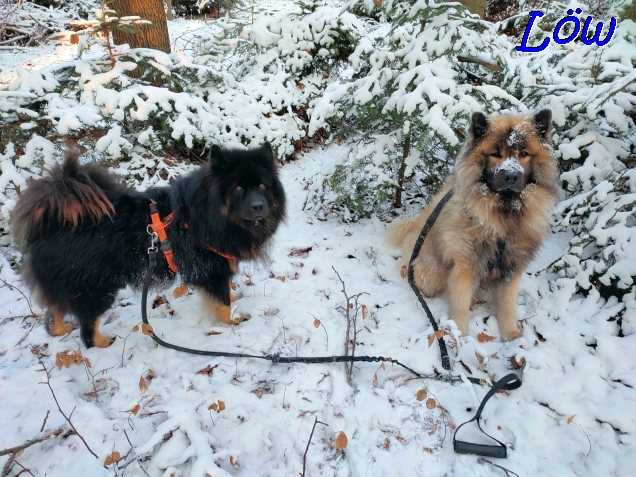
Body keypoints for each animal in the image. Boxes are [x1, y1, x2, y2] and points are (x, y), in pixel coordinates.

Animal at [12, 141, 286, 346]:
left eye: (262, 185)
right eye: (238, 188)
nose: (258, 206)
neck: (209, 215)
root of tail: (49, 223)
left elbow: (226, 293)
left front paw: (234, 297)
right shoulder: (211, 269)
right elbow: (222, 304)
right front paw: (231, 323)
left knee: (55, 312)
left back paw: (59, 329)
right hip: (97, 288)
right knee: (88, 329)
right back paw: (101, 343)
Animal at [390, 109, 560, 340]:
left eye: (523, 154)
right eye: (496, 154)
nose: (510, 175)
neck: (503, 218)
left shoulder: (512, 267)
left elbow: (507, 305)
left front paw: (511, 334)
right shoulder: (466, 266)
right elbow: (461, 305)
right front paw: (457, 335)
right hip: (430, 271)